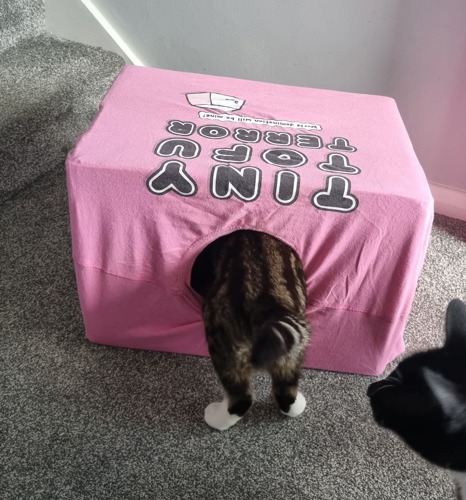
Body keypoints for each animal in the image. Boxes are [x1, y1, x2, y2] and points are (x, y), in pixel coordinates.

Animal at [191, 230, 312, 430]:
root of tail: (267, 302)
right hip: (294, 347)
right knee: (286, 391)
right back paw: (298, 404)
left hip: (225, 343)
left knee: (241, 399)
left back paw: (214, 418)